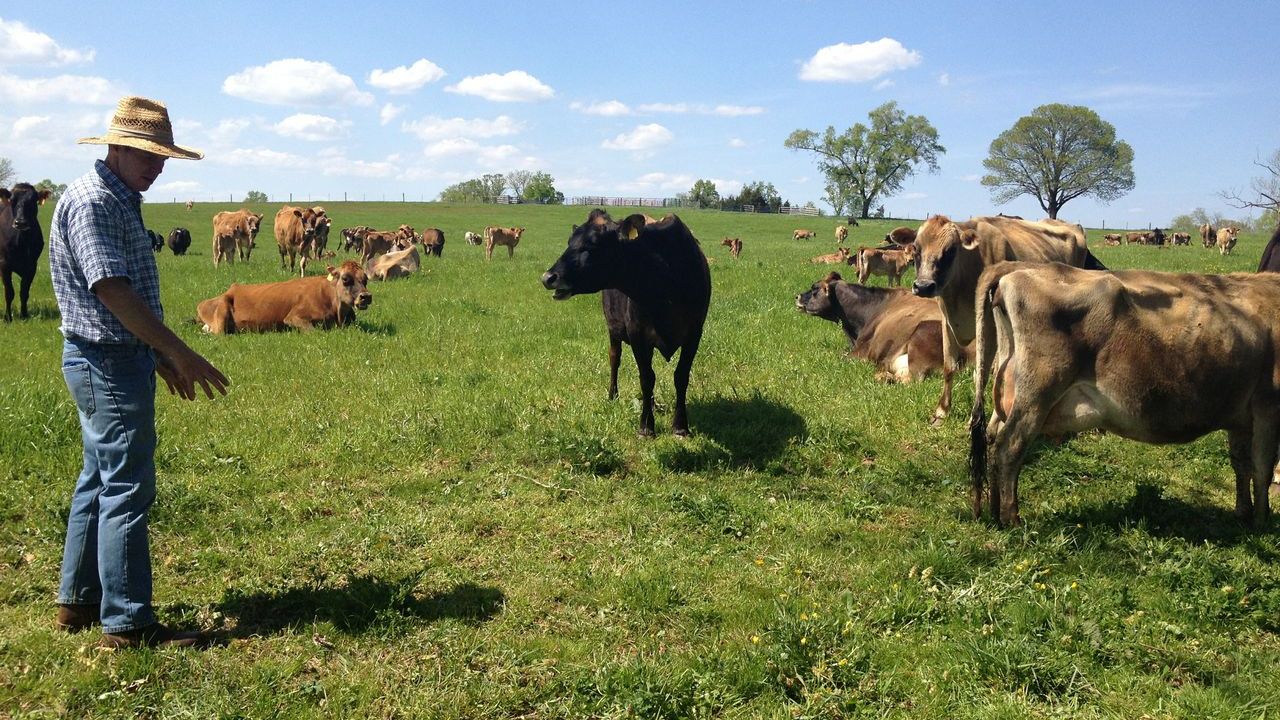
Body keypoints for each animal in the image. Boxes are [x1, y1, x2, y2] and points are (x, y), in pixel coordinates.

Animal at [0, 183, 50, 321]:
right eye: (12, 200)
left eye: (33, 201)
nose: (20, 222)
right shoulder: (4, 264)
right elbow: (9, 292)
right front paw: (8, 317)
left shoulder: (31, 266)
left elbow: (24, 292)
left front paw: (24, 315)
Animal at [196, 260, 372, 334]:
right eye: (345, 278)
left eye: (365, 279)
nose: (366, 296)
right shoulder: (294, 317)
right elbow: (315, 331)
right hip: (222, 313)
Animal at [542, 210, 711, 437]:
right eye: (570, 241)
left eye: (592, 245)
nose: (548, 277)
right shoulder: (637, 333)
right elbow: (646, 378)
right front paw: (646, 427)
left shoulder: (694, 333)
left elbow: (681, 376)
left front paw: (680, 426)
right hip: (613, 329)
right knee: (614, 358)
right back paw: (613, 395)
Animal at [893, 214, 1105, 423]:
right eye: (916, 248)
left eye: (951, 250)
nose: (923, 286)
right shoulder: (947, 321)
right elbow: (949, 366)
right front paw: (942, 411)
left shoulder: (989, 324)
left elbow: (983, 372)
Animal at [969, 261, 1280, 528]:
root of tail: (1018, 268)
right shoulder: (1268, 406)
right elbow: (1263, 466)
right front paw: (1262, 522)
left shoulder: (1241, 417)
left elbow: (1242, 463)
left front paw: (1243, 513)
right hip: (1037, 395)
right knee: (1009, 446)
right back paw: (1012, 519)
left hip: (1010, 394)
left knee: (993, 438)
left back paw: (995, 512)